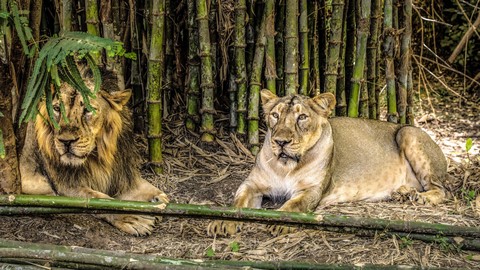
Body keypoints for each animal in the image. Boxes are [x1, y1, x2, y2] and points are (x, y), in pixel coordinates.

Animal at [21, 72, 170, 236]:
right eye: (56, 108)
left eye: (87, 109)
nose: (66, 141)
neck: (96, 157)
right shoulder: (64, 187)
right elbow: (102, 201)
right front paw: (134, 218)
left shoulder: (121, 174)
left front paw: (157, 199)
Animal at [208, 89, 448, 235]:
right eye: (275, 115)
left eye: (302, 117)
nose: (281, 142)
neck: (285, 166)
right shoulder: (252, 185)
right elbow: (238, 202)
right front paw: (222, 221)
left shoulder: (311, 190)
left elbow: (292, 206)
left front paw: (279, 221)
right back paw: (403, 193)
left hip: (408, 133)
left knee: (442, 190)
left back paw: (420, 197)